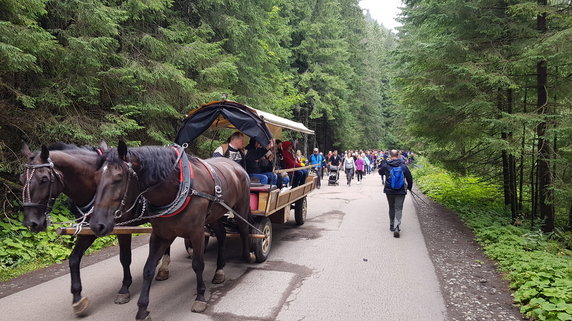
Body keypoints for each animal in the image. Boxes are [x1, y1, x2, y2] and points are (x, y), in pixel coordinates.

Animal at [19, 142, 172, 316]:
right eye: (21, 179)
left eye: (44, 179)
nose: (30, 223)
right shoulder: (89, 230)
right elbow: (74, 259)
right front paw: (77, 298)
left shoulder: (122, 228)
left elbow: (125, 258)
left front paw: (124, 288)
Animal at [90, 142, 254, 320]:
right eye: (95, 178)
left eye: (118, 178)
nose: (97, 225)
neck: (178, 188)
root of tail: (237, 166)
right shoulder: (160, 234)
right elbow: (148, 269)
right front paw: (142, 309)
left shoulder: (197, 233)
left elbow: (198, 264)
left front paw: (200, 297)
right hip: (214, 215)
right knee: (223, 234)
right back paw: (219, 271)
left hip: (241, 206)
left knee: (244, 229)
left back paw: (247, 255)